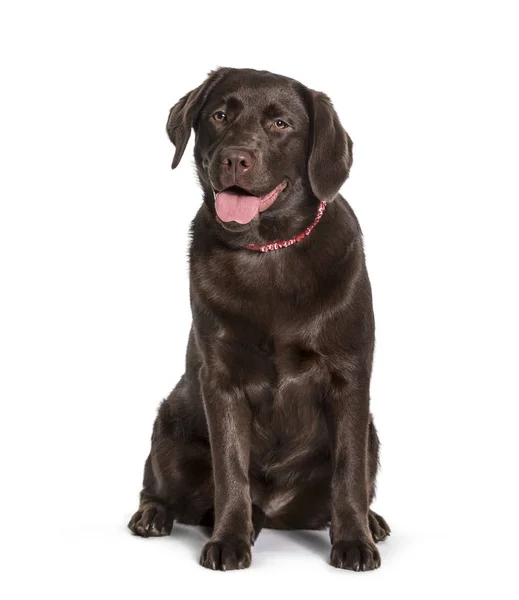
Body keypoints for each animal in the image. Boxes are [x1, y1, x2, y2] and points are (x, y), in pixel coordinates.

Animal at [129, 67, 390, 572]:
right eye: (219, 115)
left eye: (281, 124)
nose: (235, 159)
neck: (266, 250)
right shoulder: (221, 380)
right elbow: (230, 468)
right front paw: (229, 538)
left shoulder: (349, 377)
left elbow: (348, 471)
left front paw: (354, 541)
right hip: (169, 427)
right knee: (158, 485)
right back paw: (154, 516)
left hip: (372, 432)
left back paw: (372, 522)